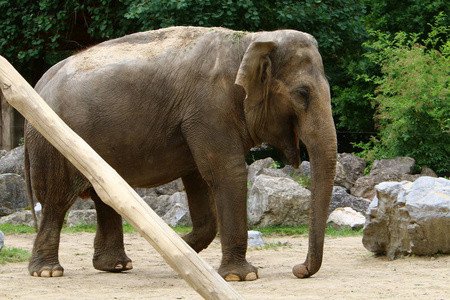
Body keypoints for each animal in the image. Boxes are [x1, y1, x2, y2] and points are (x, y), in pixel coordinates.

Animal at [22, 25, 336, 282]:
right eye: (303, 94)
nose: (299, 270)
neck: (251, 40)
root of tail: (38, 82)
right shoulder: (209, 106)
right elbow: (227, 172)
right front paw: (241, 276)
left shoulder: (199, 117)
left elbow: (199, 178)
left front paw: (184, 250)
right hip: (51, 141)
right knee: (56, 201)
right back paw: (48, 271)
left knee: (103, 196)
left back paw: (116, 266)